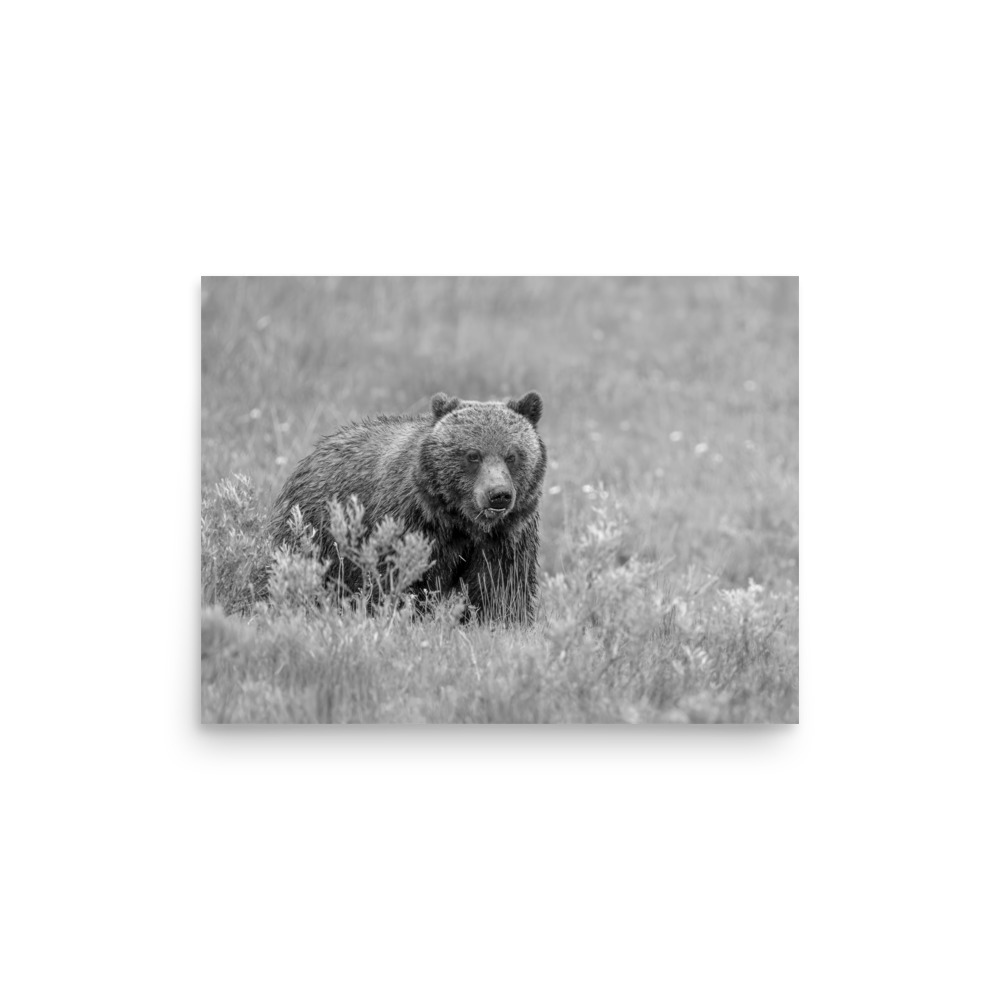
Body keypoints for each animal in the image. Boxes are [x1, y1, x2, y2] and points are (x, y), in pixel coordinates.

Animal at [268, 390, 547, 624]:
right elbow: (402, 578)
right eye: (473, 455)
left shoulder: (506, 536)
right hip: (316, 529)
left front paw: (501, 621)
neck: (461, 521)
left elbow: (500, 587)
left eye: (512, 455)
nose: (498, 495)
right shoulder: (411, 523)